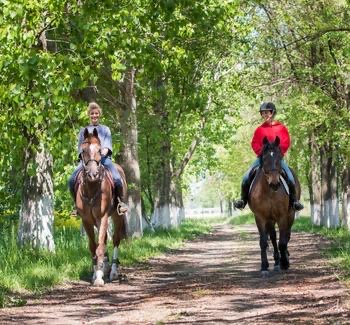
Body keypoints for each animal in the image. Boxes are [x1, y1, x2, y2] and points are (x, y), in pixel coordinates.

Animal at [75, 128, 127, 284]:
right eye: (83, 150)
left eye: (99, 149)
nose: (93, 174)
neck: (92, 188)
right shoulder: (86, 220)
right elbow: (94, 247)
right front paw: (96, 272)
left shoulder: (103, 217)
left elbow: (100, 247)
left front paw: (98, 277)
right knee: (103, 241)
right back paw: (105, 266)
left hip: (117, 216)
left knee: (115, 239)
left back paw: (113, 272)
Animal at [249, 135, 300, 274]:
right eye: (265, 158)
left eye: (279, 158)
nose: (275, 183)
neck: (269, 192)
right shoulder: (260, 217)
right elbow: (263, 241)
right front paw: (264, 266)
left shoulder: (282, 216)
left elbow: (282, 241)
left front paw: (285, 263)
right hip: (270, 219)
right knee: (272, 237)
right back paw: (276, 261)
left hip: (290, 214)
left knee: (286, 235)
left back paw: (284, 258)